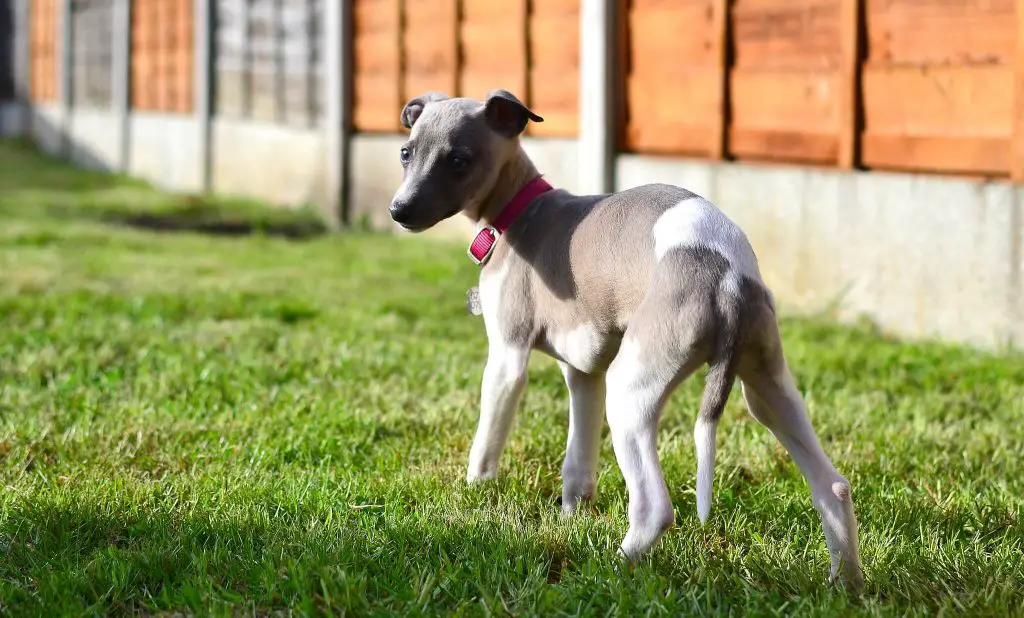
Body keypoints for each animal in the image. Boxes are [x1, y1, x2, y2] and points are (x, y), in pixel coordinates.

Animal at [389, 89, 864, 585]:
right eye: (406, 153)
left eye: (459, 160)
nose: (398, 211)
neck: (521, 211)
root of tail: (726, 274)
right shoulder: (584, 373)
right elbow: (578, 461)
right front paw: (571, 518)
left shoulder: (507, 357)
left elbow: (486, 441)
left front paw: (474, 495)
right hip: (767, 383)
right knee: (832, 485)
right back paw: (845, 585)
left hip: (631, 390)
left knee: (655, 508)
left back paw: (607, 571)